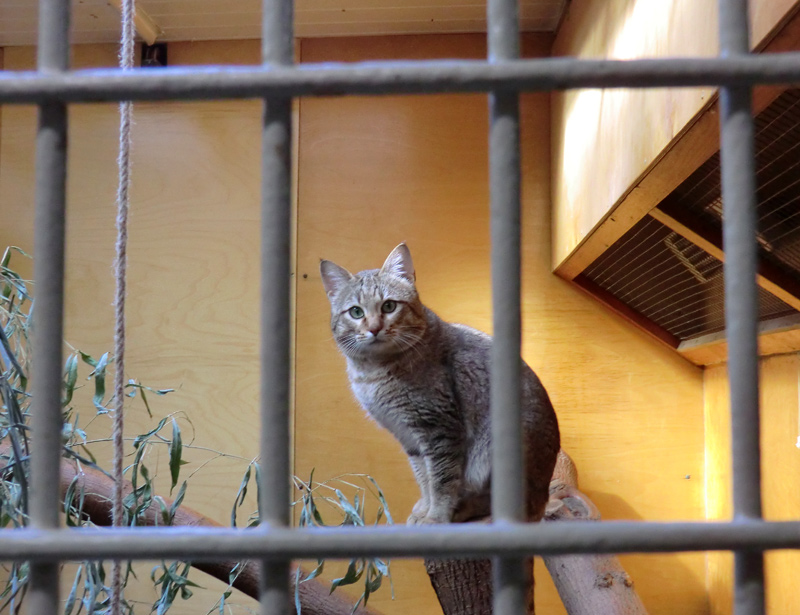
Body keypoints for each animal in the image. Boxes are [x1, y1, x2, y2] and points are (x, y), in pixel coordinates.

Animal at [320, 243, 564, 528]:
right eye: (356, 312)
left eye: (389, 306)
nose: (374, 328)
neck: (373, 371)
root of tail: (544, 494)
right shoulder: (409, 436)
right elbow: (424, 478)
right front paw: (424, 509)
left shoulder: (439, 428)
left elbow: (442, 480)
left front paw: (436, 517)